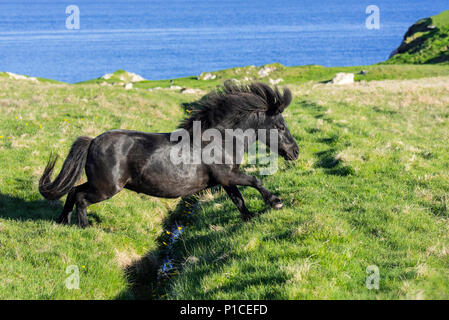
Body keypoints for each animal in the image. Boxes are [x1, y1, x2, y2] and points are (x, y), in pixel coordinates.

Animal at [38, 82, 298, 228]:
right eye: (280, 126)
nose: (295, 152)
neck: (220, 140)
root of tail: (92, 141)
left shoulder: (225, 180)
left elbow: (238, 200)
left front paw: (249, 218)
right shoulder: (229, 176)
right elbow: (255, 181)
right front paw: (276, 202)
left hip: (98, 184)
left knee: (73, 191)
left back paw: (63, 221)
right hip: (106, 187)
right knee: (81, 198)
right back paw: (84, 227)